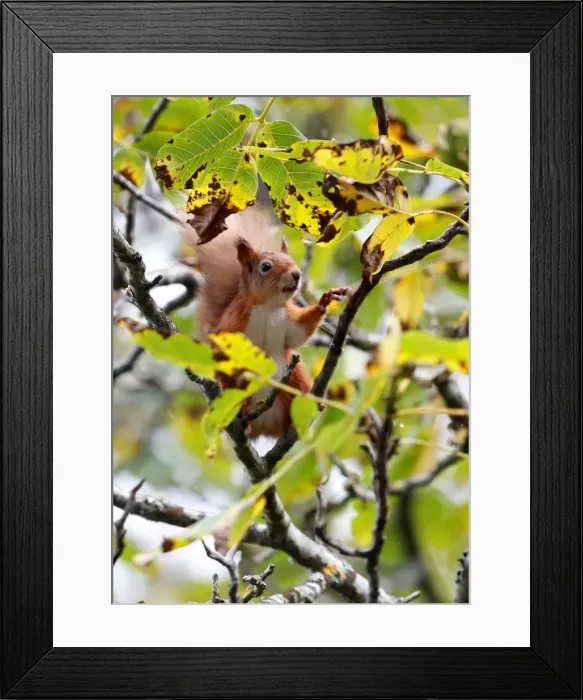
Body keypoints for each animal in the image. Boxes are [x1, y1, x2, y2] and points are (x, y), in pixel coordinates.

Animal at [190, 210, 348, 438]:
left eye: (292, 260)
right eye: (266, 267)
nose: (297, 274)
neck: (267, 308)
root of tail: (267, 427)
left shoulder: (288, 319)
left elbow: (299, 333)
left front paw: (325, 301)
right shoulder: (235, 320)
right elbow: (219, 346)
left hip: (294, 374)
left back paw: (312, 404)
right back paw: (243, 412)